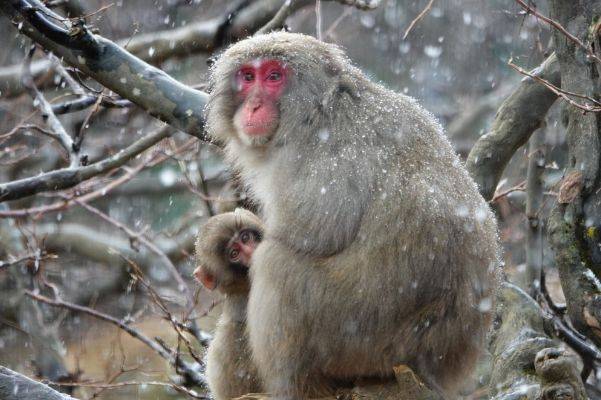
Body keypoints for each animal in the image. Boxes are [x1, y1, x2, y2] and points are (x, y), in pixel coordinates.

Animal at [204, 32, 500, 400]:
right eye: (247, 77)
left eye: (273, 76)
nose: (254, 106)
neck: (319, 110)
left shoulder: (320, 161)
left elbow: (308, 238)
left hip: (359, 334)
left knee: (275, 265)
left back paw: (296, 389)